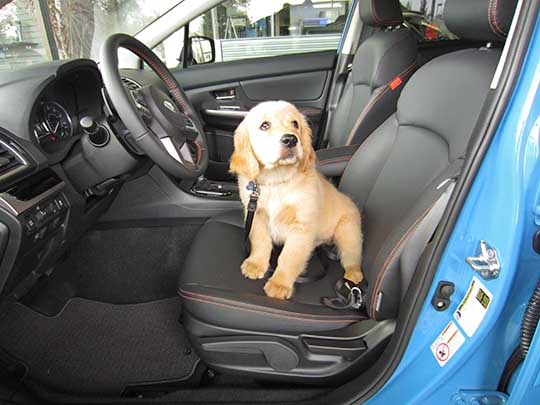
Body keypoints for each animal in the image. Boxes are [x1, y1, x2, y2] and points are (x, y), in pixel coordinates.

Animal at [230, 100, 364, 298]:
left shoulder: (301, 227)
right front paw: (256, 264)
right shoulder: (256, 215)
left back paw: (353, 276)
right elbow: (261, 242)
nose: (291, 139)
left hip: (349, 233)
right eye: (264, 125)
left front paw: (279, 284)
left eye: (295, 124)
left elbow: (289, 258)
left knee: (352, 257)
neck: (276, 181)